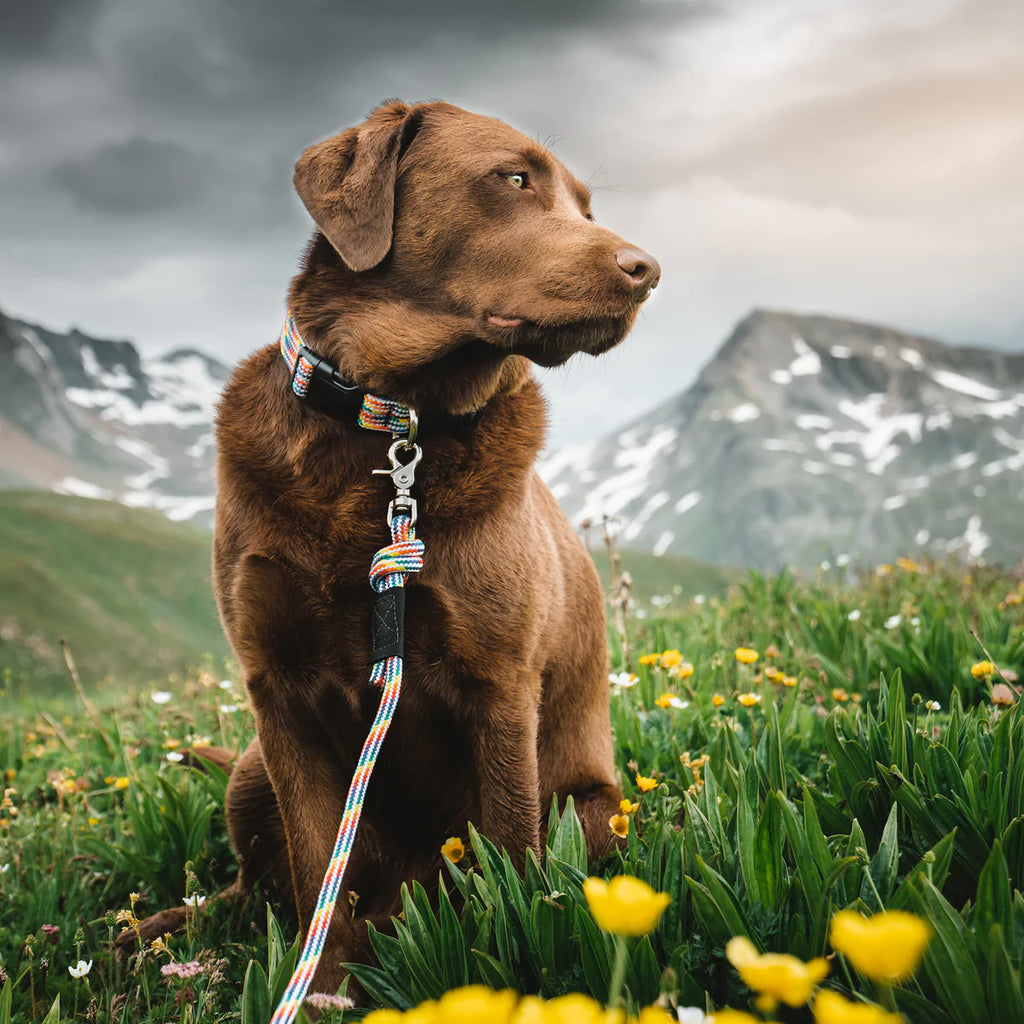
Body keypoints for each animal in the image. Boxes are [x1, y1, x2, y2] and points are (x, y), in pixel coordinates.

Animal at [130, 99, 655, 995]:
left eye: (586, 206)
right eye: (514, 178)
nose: (647, 269)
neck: (389, 423)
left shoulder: (497, 682)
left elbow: (512, 852)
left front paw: (518, 968)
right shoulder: (277, 694)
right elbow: (318, 868)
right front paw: (321, 991)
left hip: (596, 808)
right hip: (248, 771)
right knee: (250, 890)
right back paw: (158, 937)